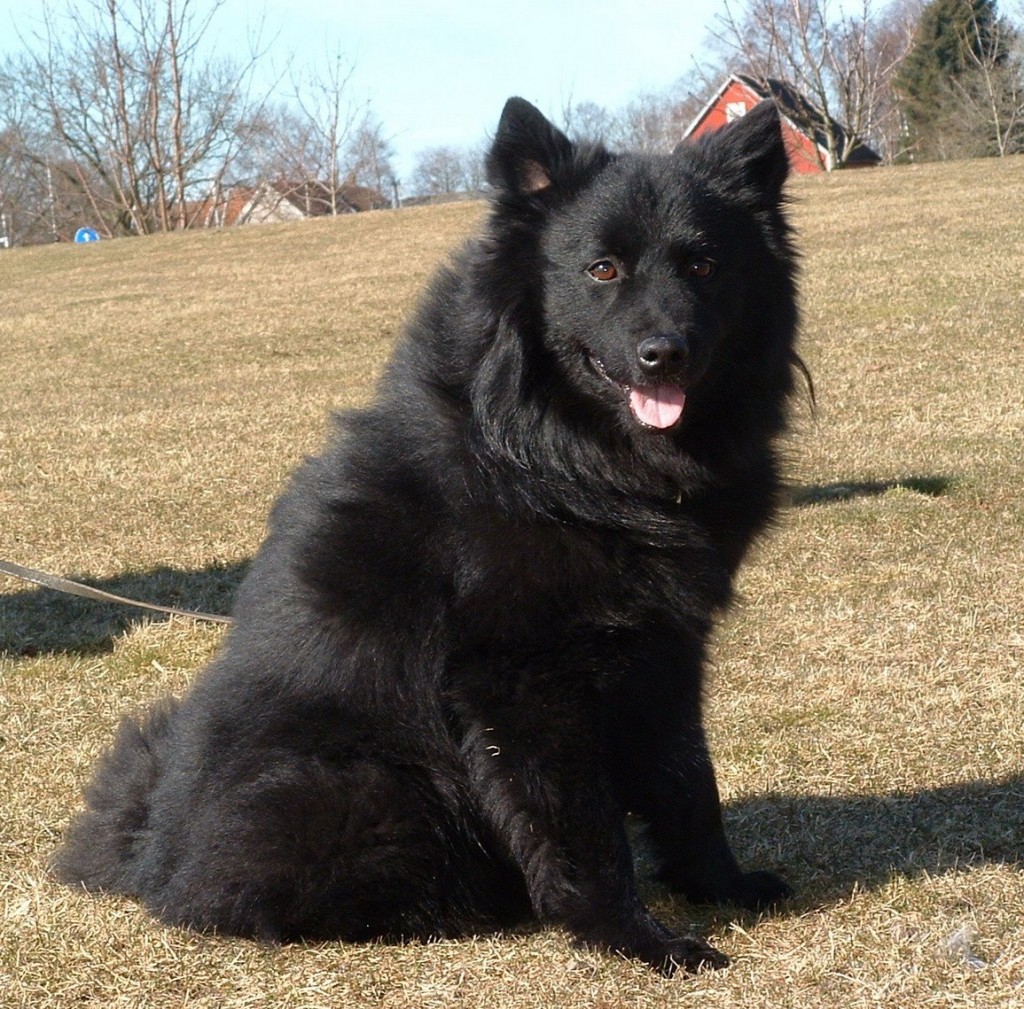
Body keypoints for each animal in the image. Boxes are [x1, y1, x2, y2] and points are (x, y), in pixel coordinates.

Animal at [56, 98, 802, 971]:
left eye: (705, 267)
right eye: (602, 271)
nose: (664, 354)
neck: (566, 463)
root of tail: (150, 853)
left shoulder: (666, 650)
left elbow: (689, 782)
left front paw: (722, 884)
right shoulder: (523, 682)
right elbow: (584, 829)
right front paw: (635, 937)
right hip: (377, 785)